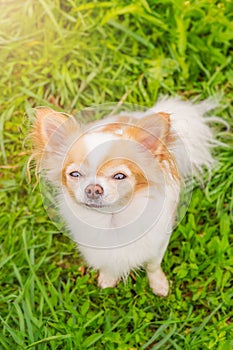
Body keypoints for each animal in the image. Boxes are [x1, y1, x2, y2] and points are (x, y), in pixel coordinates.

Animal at [30, 98, 217, 296]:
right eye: (75, 174)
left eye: (120, 176)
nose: (93, 189)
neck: (113, 220)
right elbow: (108, 265)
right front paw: (108, 279)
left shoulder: (157, 244)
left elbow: (153, 266)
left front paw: (159, 285)